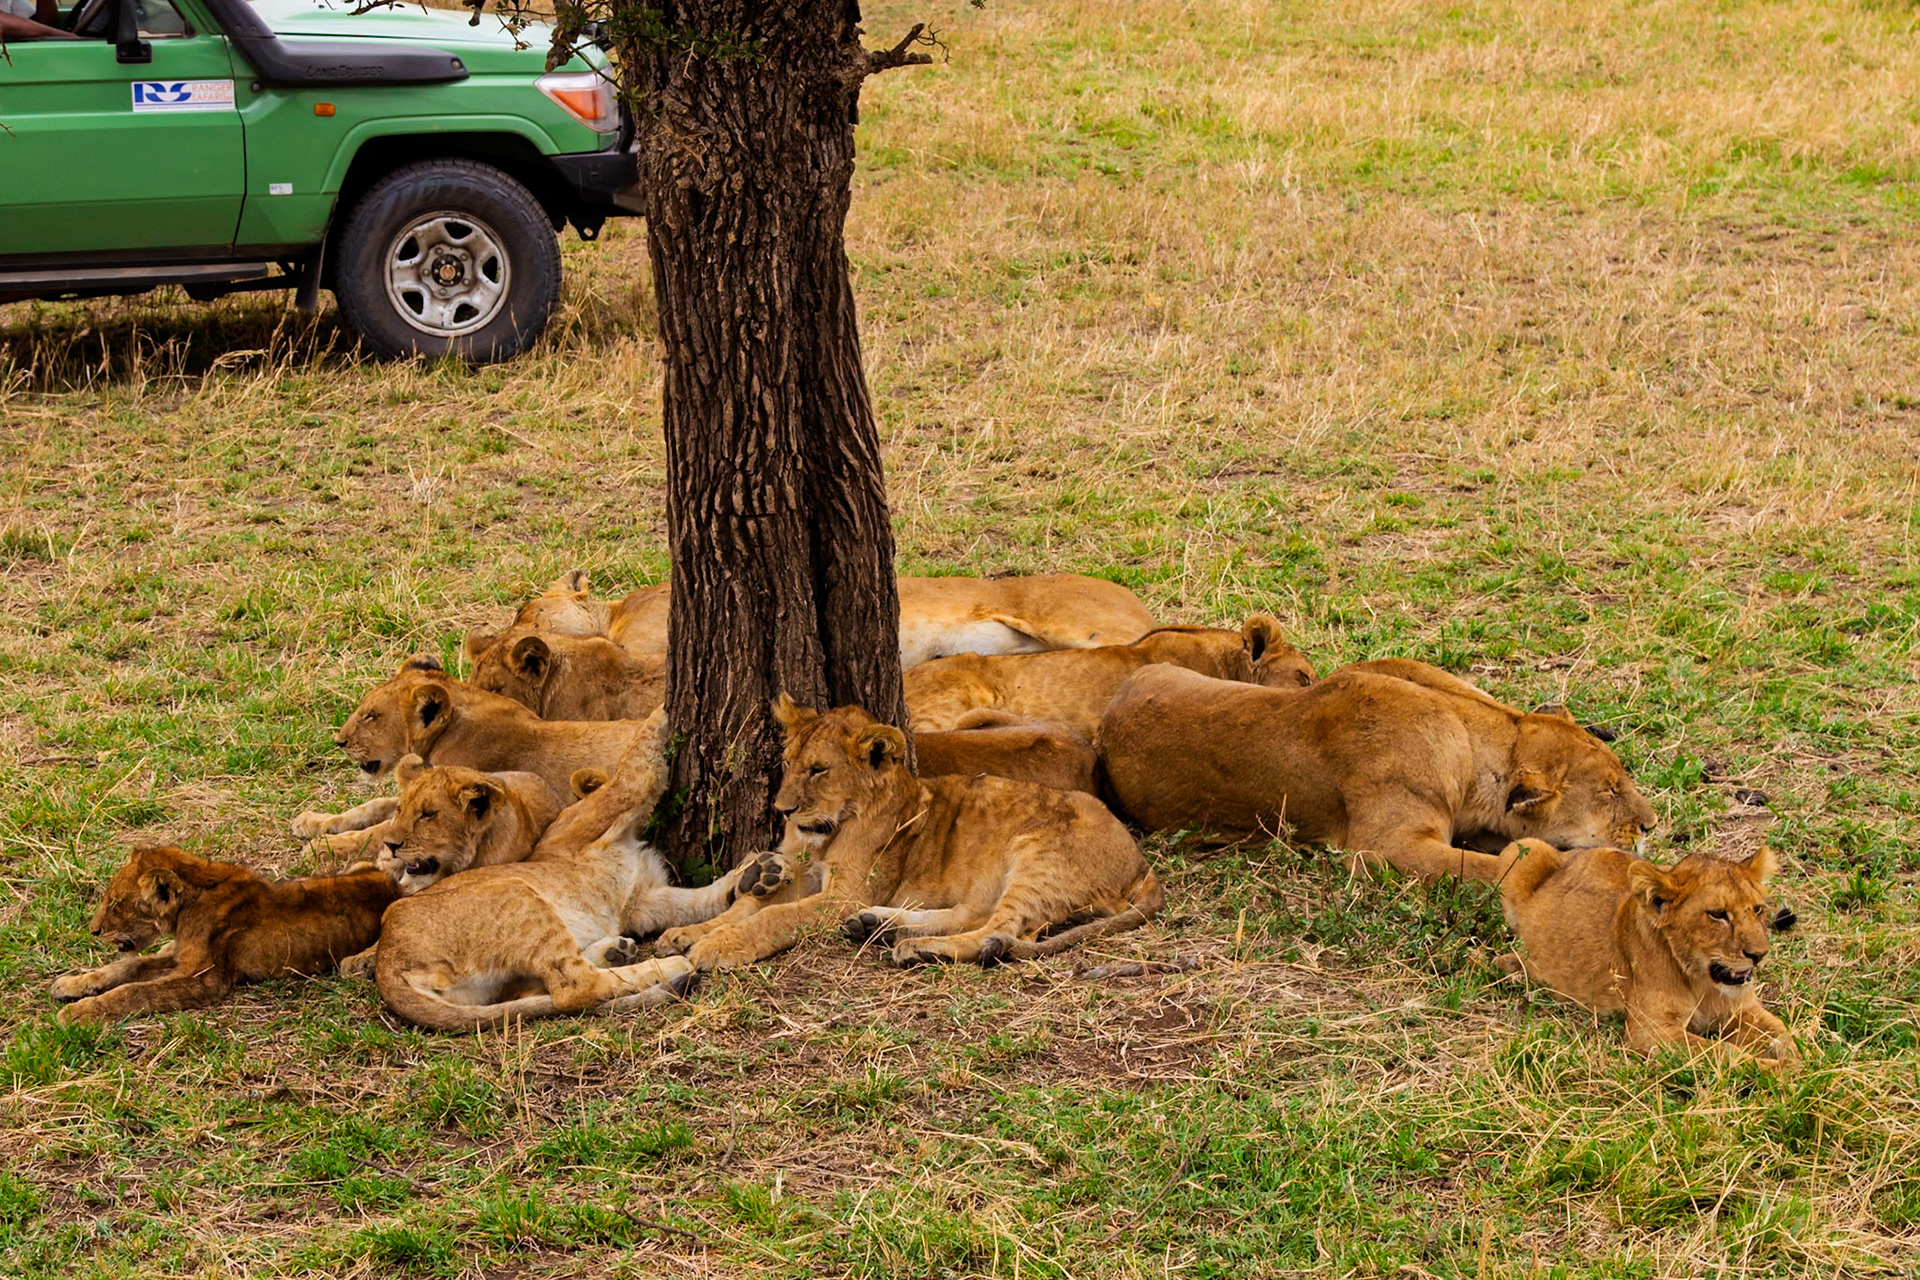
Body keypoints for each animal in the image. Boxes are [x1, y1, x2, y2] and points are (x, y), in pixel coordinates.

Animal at [50, 845, 398, 1025]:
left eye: (116, 903)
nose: (94, 930)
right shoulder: (182, 957)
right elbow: (128, 966)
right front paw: (72, 984)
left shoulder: (204, 978)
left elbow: (135, 991)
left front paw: (79, 1011)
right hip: (360, 864)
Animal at [373, 710, 794, 1030]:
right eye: (404, 810)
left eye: (425, 814)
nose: (391, 843)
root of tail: (386, 961)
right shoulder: (609, 808)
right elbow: (637, 760)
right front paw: (659, 707)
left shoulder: (641, 901)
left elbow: (695, 902)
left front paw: (757, 875)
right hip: (518, 896)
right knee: (572, 988)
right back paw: (666, 966)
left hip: (490, 981)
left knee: (540, 988)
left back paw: (616, 951)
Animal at [653, 696, 1162, 971]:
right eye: (788, 763)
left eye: (818, 770)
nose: (784, 810)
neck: (830, 829)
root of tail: (1140, 861)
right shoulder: (806, 877)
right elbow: (748, 905)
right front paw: (689, 933)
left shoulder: (844, 894)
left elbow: (772, 917)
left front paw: (719, 946)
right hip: (993, 878)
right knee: (973, 915)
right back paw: (880, 927)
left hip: (1037, 855)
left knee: (998, 930)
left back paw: (917, 947)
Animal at [1492, 840, 1794, 1063]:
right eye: (1718, 914)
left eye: (1757, 909)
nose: (1759, 954)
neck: (1702, 984)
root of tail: (1572, 852)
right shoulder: (1652, 1032)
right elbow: (1721, 1053)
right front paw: (1772, 1071)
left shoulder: (1742, 1010)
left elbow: (1783, 1034)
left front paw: (1795, 1062)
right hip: (1522, 849)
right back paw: (1512, 966)